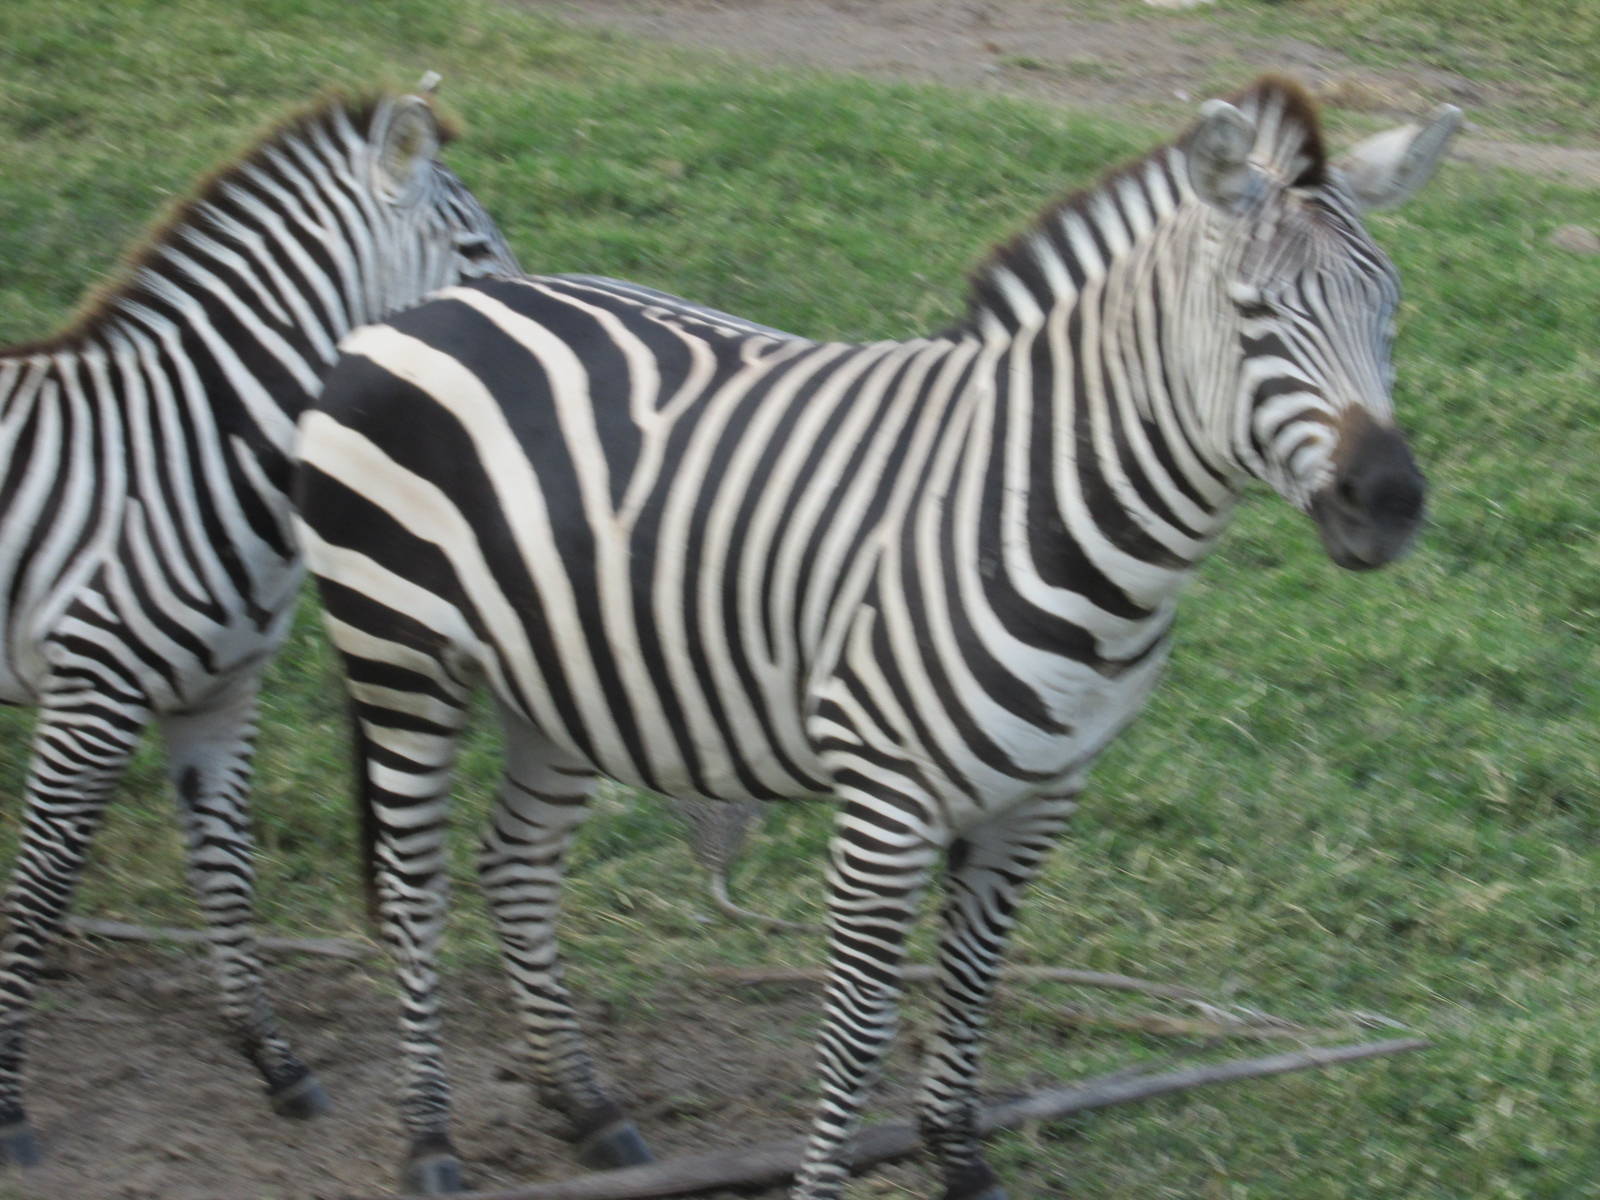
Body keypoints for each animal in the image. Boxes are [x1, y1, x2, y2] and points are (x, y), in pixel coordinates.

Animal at [0, 81, 519, 1167]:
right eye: (474, 253)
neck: (182, 453)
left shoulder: (216, 695)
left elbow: (227, 877)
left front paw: (275, 1064)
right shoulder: (91, 694)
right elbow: (40, 890)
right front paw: (9, 1104)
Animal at [293, 78, 1459, 1198]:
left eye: (1393, 308)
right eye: (1252, 312)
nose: (1390, 502)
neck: (1032, 504)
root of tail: (431, 307)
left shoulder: (1042, 796)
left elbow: (971, 984)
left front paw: (963, 1166)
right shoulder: (888, 799)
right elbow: (856, 1030)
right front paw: (828, 1183)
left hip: (555, 678)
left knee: (518, 865)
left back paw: (586, 1107)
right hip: (398, 654)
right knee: (414, 885)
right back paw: (429, 1138)